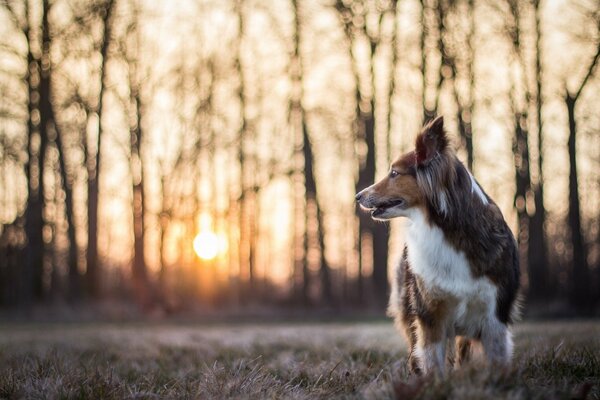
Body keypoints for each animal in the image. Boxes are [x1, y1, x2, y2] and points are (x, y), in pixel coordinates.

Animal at [354, 115, 516, 376]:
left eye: (394, 172)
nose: (357, 196)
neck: (448, 229)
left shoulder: (495, 315)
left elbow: (496, 357)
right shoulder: (430, 313)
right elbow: (432, 359)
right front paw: (436, 382)